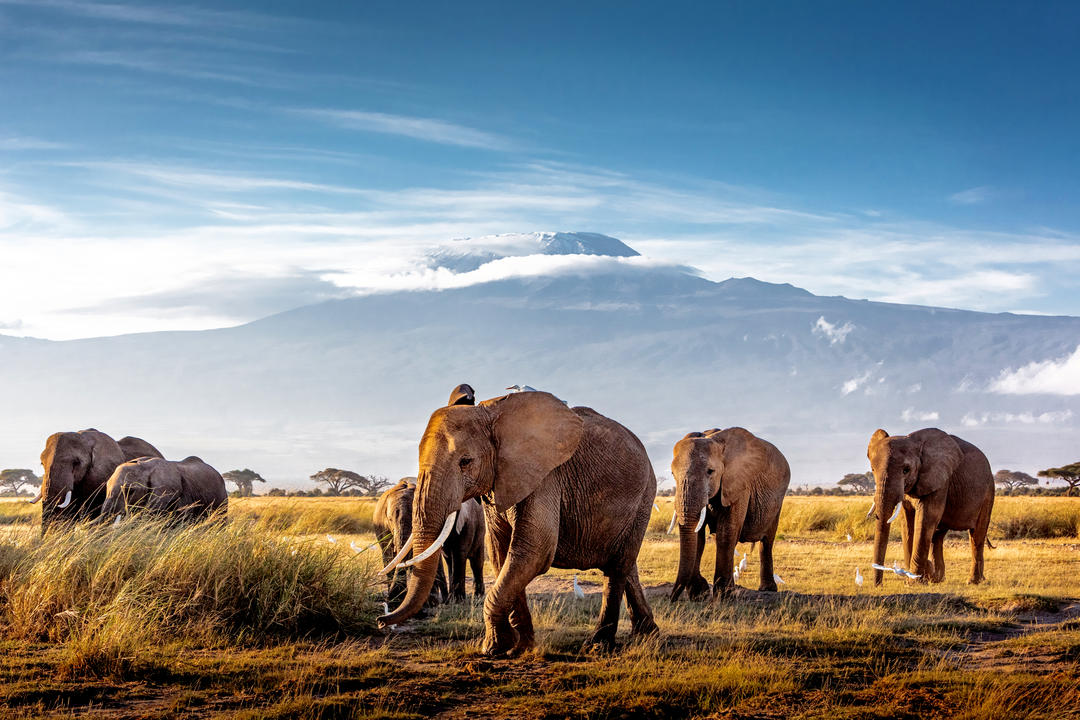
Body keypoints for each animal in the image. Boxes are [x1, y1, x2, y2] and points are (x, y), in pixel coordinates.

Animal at [669, 427, 790, 604]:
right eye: (672, 474)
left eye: (710, 471)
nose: (672, 599)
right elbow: (698, 537)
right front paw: (700, 595)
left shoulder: (739, 485)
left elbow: (726, 532)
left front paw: (724, 596)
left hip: (777, 502)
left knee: (767, 542)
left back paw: (767, 589)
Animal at [868, 427, 993, 587]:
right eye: (872, 469)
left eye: (906, 470)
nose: (879, 585)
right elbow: (907, 523)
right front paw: (916, 578)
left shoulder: (940, 481)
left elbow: (926, 519)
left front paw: (914, 582)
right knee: (937, 536)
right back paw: (937, 579)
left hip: (988, 492)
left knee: (977, 535)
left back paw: (972, 581)